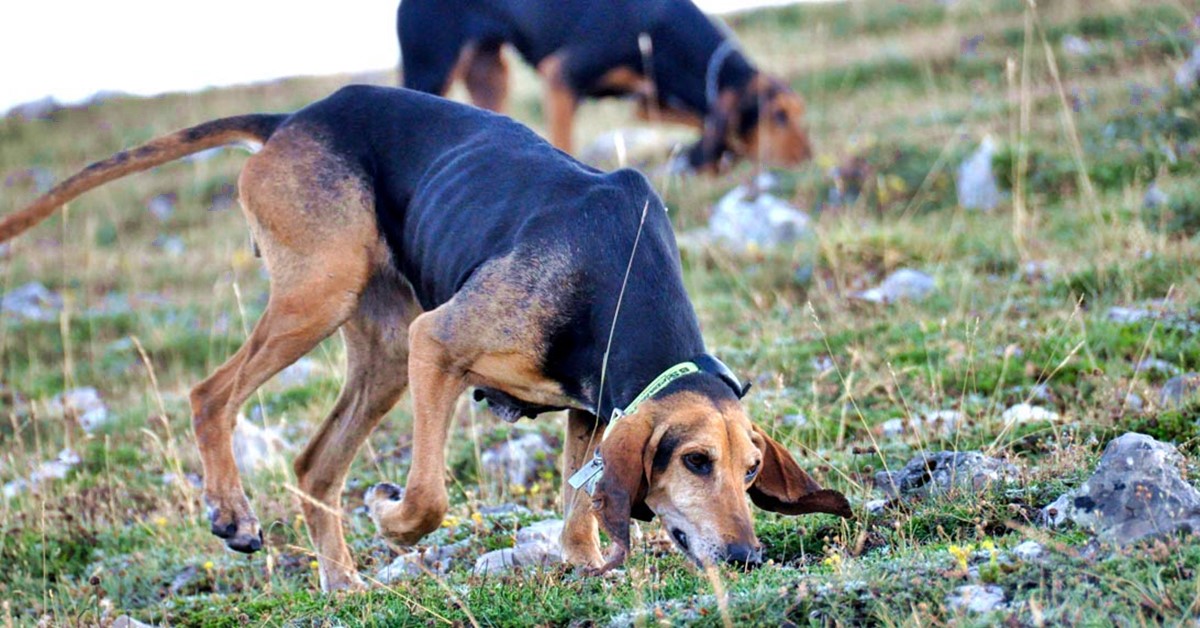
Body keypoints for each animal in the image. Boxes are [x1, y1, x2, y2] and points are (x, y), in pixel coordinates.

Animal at [0, 85, 849, 593]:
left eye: (749, 471)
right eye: (697, 462)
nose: (746, 557)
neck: (614, 275)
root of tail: (293, 117)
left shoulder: (588, 408)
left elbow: (580, 508)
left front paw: (581, 562)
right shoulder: (435, 345)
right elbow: (432, 498)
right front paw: (393, 519)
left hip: (376, 353)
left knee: (313, 465)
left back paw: (341, 585)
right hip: (325, 297)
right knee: (211, 395)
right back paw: (233, 514)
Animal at [398, 0, 811, 170]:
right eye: (778, 116)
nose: (808, 158)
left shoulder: (648, 98)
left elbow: (706, 117)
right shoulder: (561, 75)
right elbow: (563, 142)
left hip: (491, 76)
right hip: (432, 70)